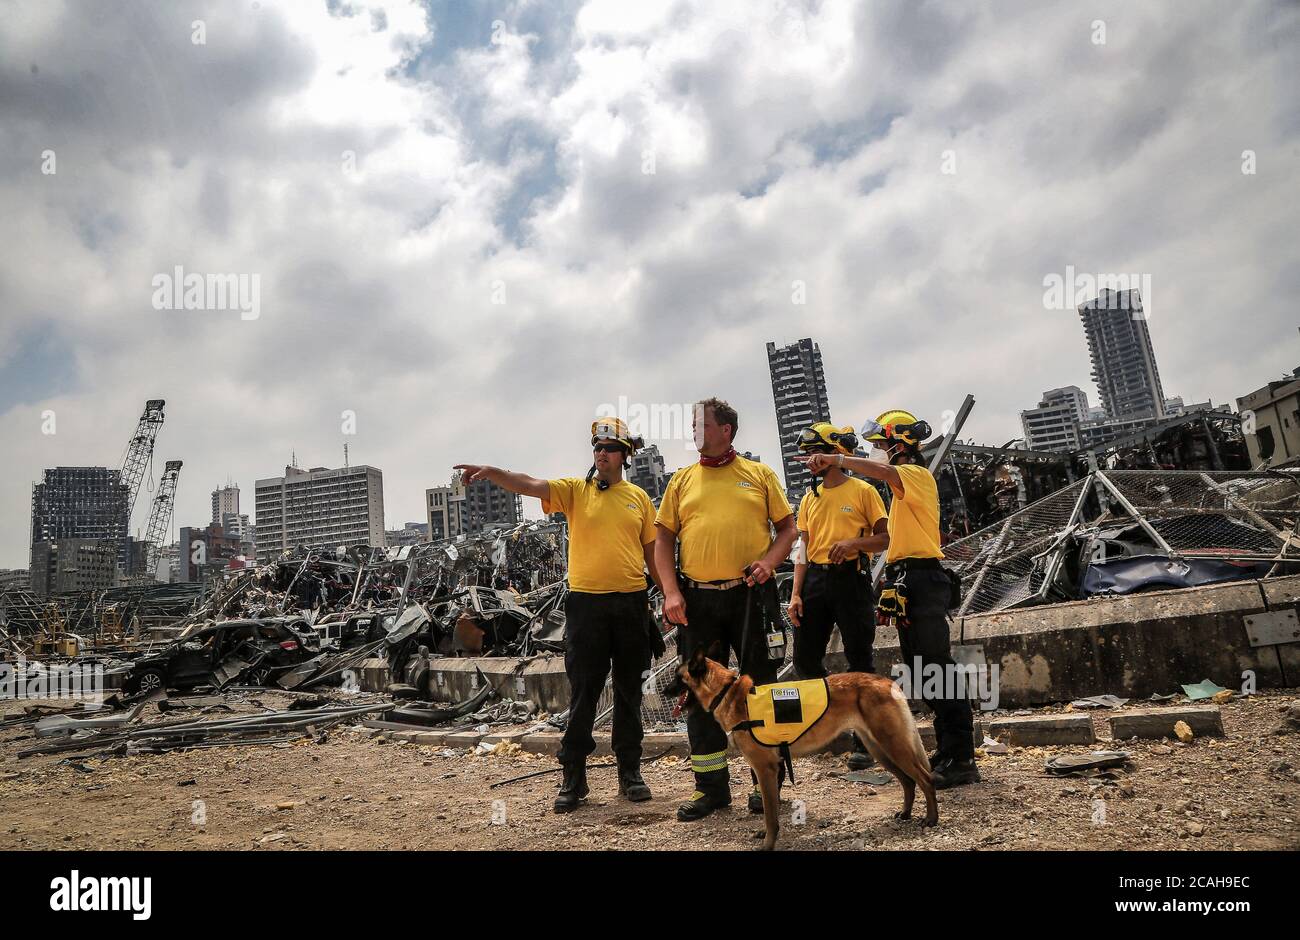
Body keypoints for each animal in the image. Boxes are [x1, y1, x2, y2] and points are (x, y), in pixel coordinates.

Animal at [670, 647, 935, 852]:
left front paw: (768, 844)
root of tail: (886, 681)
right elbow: (771, 808)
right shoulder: (772, 768)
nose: (664, 691)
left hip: (893, 746)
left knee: (924, 777)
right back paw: (905, 813)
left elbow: (770, 813)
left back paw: (931, 819)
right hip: (881, 749)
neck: (729, 693)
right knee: (908, 781)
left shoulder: (765, 768)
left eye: (676, 677)